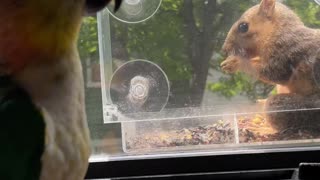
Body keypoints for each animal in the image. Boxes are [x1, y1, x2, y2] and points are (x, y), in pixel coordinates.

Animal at [221, 0, 320, 132]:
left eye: (243, 26)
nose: (224, 49)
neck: (277, 31)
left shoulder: (286, 52)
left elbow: (274, 73)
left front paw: (236, 62)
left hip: (293, 107)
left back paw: (262, 129)